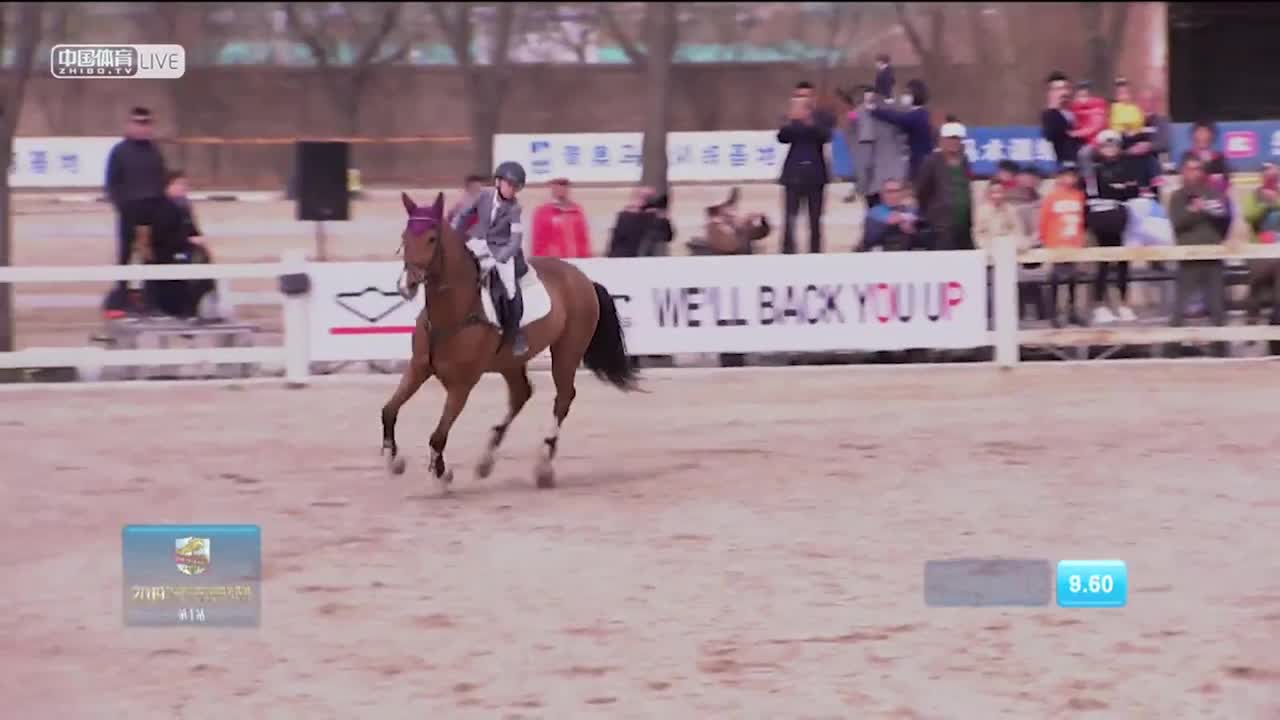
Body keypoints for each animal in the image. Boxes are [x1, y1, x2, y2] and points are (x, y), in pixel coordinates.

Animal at [380, 191, 640, 494]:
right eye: (405, 236)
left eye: (432, 238)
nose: (406, 286)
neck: (452, 312)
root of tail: (583, 278)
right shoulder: (418, 368)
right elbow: (389, 410)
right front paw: (394, 460)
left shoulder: (461, 386)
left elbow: (438, 435)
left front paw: (442, 475)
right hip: (510, 362)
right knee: (521, 394)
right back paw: (486, 460)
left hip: (567, 351)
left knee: (563, 398)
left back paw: (543, 464)